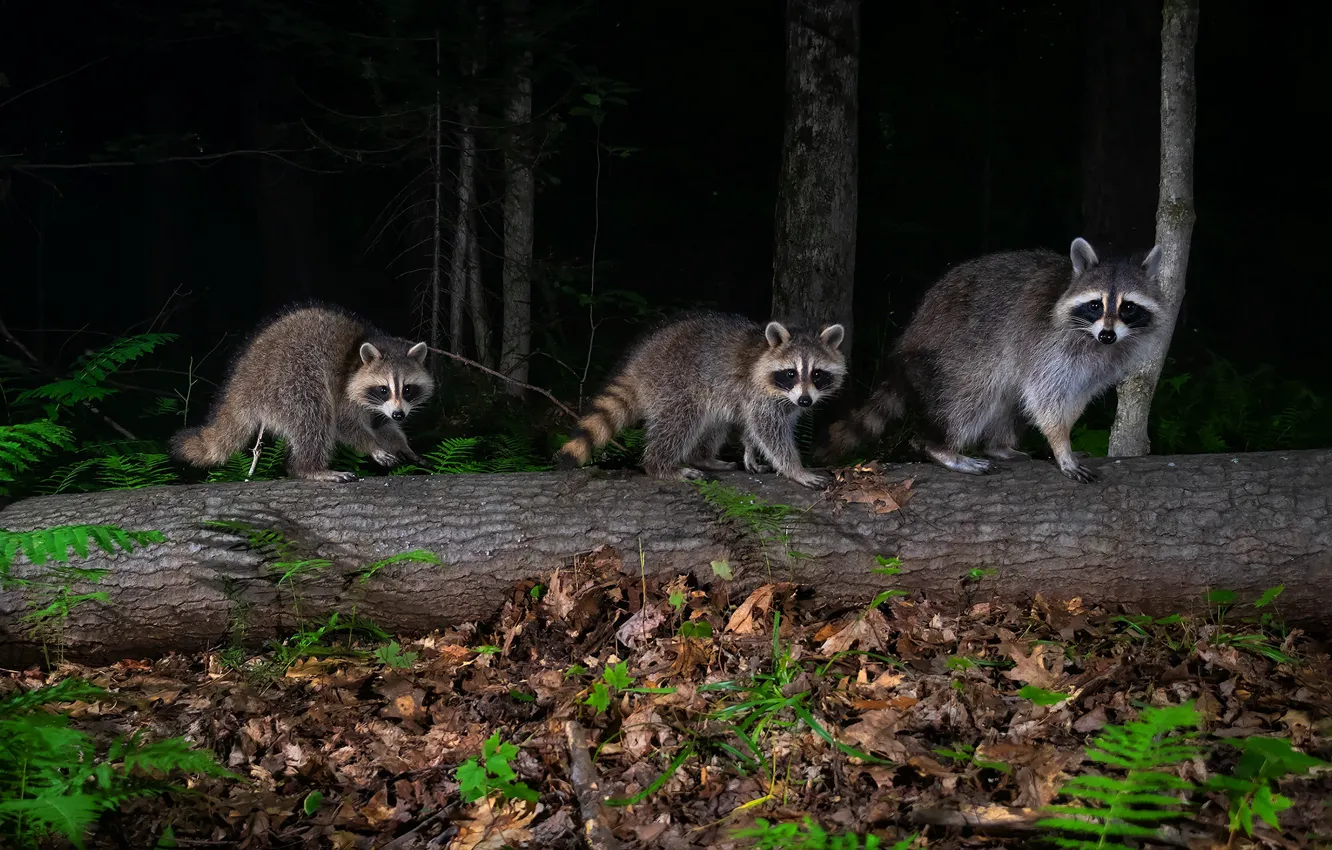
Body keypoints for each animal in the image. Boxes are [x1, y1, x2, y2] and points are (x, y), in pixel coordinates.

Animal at [171, 303, 434, 482]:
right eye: (383, 389)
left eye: (407, 389)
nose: (400, 415)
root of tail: (240, 382)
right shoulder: (344, 390)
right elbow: (345, 424)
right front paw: (372, 446)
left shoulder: (380, 409)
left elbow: (383, 426)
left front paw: (402, 446)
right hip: (289, 380)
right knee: (314, 414)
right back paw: (310, 468)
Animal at [557, 311, 847, 488]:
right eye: (790, 373)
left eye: (817, 374)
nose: (806, 402)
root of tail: (638, 362)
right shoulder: (758, 393)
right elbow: (769, 431)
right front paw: (796, 469)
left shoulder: (766, 399)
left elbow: (751, 426)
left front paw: (750, 453)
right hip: (674, 382)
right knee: (681, 422)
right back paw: (662, 466)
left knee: (715, 423)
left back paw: (703, 457)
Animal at [819, 238, 1165, 483]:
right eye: (1095, 305)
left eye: (1128, 307)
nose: (1107, 335)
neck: (1095, 340)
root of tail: (912, 335)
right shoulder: (1047, 345)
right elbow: (1045, 396)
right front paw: (1060, 444)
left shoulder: (1101, 362)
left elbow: (1074, 397)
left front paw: (1063, 436)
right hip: (959, 351)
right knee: (972, 397)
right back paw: (940, 446)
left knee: (1008, 399)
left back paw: (998, 445)